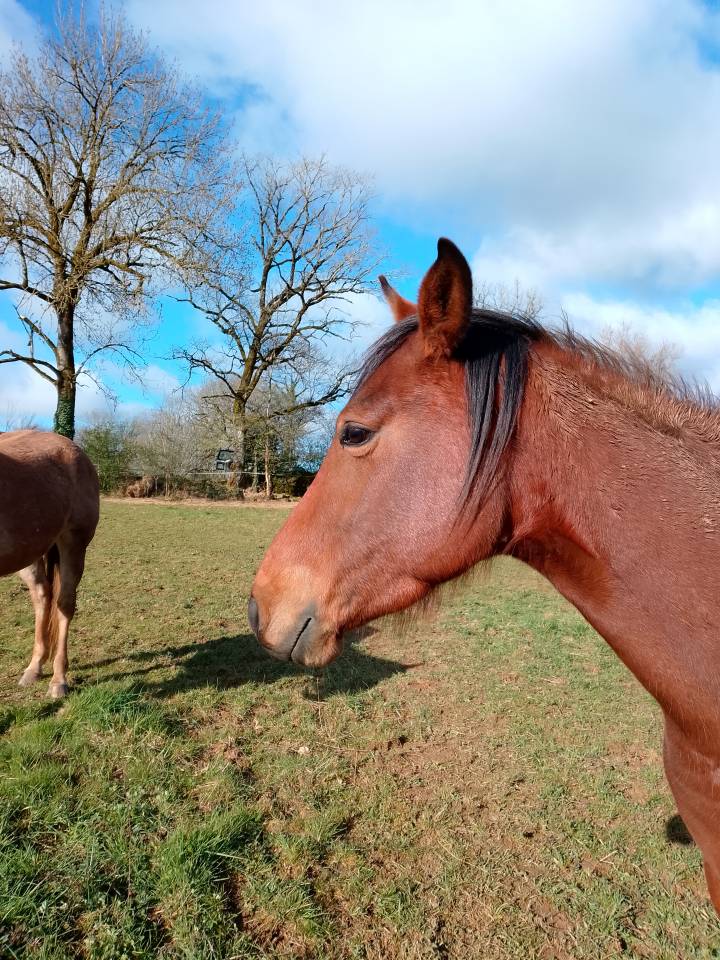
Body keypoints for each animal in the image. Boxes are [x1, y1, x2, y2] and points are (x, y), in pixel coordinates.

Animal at [1, 429, 99, 698]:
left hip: (73, 543)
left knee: (64, 604)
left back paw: (58, 680)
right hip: (30, 552)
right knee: (42, 596)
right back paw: (34, 668)